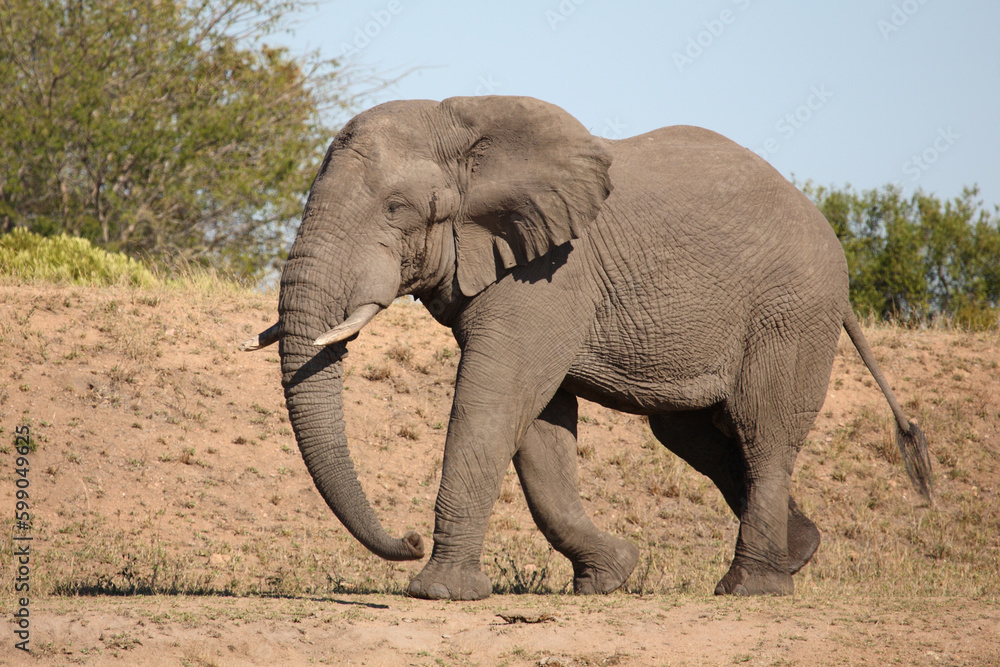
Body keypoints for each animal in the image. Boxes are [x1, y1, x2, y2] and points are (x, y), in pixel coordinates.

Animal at [240, 96, 928, 604]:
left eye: (398, 207)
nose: (406, 538)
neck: (463, 122)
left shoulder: (552, 273)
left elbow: (493, 400)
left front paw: (439, 593)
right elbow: (540, 427)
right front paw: (608, 578)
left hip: (791, 312)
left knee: (762, 430)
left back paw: (750, 588)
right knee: (699, 438)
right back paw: (800, 554)